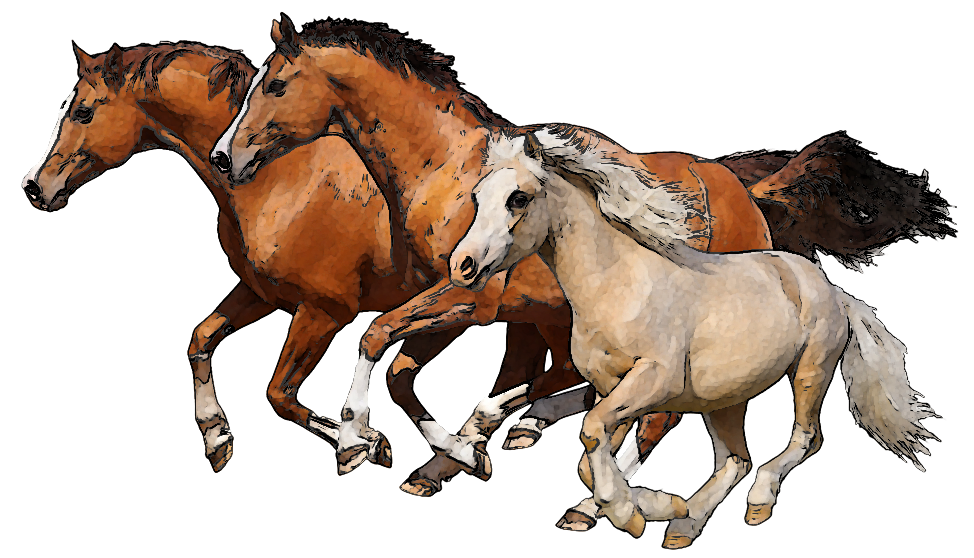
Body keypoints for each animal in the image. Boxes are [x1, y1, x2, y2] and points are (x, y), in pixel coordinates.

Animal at [20, 38, 640, 488]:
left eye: (83, 110)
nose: (33, 187)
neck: (279, 178)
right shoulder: (263, 294)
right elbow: (201, 338)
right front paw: (217, 438)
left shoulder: (327, 309)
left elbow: (281, 391)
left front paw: (358, 444)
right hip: (542, 317)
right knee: (551, 374)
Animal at [448, 128, 940, 548]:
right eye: (476, 195)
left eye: (518, 197)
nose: (462, 266)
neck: (618, 286)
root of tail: (831, 288)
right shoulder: (610, 389)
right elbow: (588, 458)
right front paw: (652, 508)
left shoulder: (652, 380)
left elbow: (591, 436)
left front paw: (630, 515)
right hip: (725, 399)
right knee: (735, 460)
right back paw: (684, 525)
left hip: (809, 372)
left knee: (805, 439)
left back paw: (756, 504)